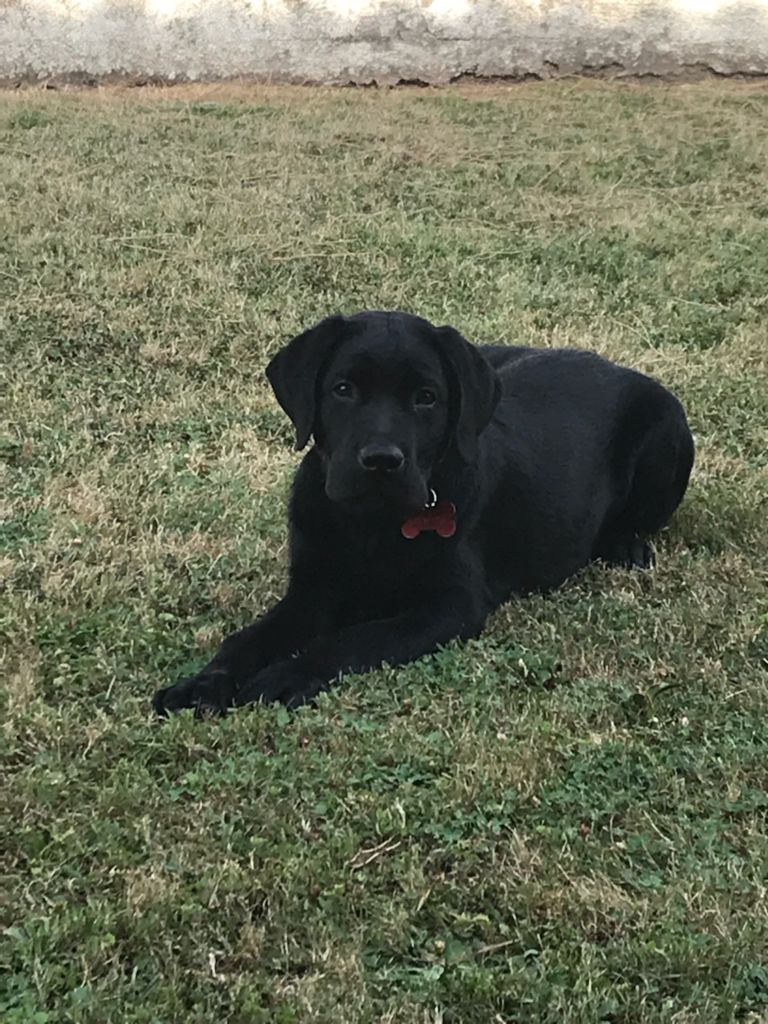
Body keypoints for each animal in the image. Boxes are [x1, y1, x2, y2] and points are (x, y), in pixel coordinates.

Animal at [153, 307, 696, 716]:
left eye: (426, 398)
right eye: (343, 389)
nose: (381, 461)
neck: (371, 525)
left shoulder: (449, 606)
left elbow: (354, 638)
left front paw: (286, 675)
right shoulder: (310, 593)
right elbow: (247, 639)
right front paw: (202, 684)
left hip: (667, 432)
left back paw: (626, 545)